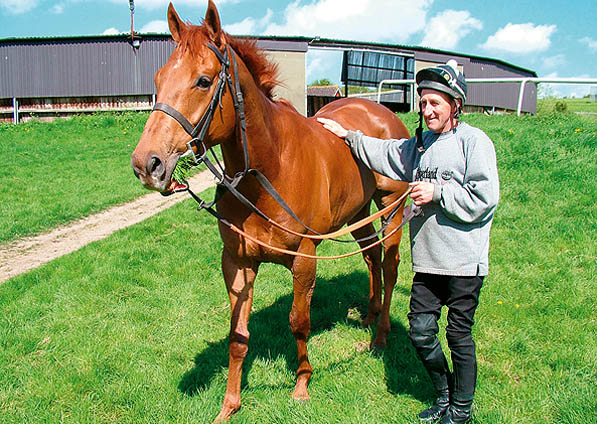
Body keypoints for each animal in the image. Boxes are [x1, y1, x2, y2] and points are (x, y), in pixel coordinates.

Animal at [130, 0, 410, 420]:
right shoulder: (238, 261)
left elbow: (299, 321)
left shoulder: (305, 258)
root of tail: (382, 112)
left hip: (391, 207)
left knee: (389, 266)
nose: (147, 165)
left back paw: (380, 336)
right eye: (159, 78)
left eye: (203, 81)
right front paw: (229, 405)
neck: (269, 168)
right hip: (359, 212)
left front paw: (302, 385)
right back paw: (371, 313)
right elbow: (238, 335)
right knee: (371, 256)